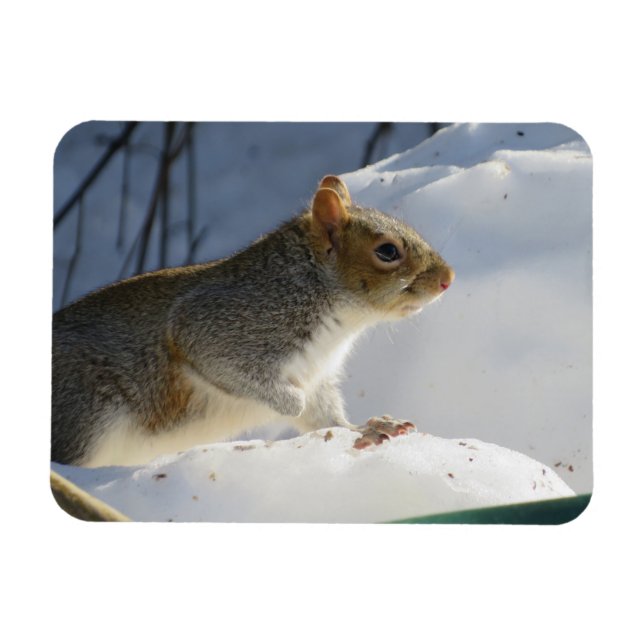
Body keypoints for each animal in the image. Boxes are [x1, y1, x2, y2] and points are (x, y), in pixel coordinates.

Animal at [52, 175, 454, 467]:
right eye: (387, 251)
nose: (447, 279)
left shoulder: (318, 375)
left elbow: (325, 416)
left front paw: (363, 429)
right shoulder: (223, 325)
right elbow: (239, 372)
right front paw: (291, 402)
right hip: (83, 412)